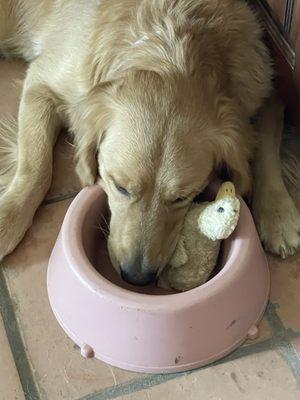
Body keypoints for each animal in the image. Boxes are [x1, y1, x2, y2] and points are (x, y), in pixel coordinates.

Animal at [0, 0, 298, 284]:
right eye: (119, 187)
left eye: (182, 197)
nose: (137, 277)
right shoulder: (42, 82)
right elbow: (36, 167)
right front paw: (8, 217)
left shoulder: (263, 89)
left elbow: (267, 154)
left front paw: (278, 214)